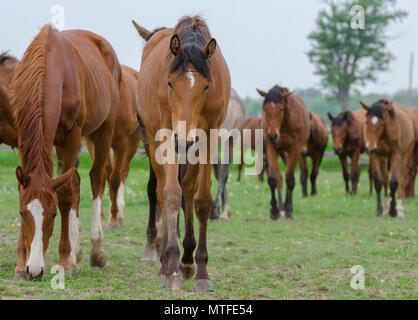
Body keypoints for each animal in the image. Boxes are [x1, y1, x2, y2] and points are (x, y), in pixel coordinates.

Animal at [10, 25, 121, 280]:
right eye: (21, 213)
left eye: (52, 215)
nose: (34, 270)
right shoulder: (22, 135)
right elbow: (27, 189)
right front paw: (20, 264)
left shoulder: (72, 135)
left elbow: (65, 195)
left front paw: (63, 262)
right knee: (76, 180)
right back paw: (76, 253)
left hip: (103, 131)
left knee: (96, 179)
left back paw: (95, 250)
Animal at [133, 15, 230, 292]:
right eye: (169, 82)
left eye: (206, 86)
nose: (183, 139)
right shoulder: (166, 136)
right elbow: (170, 195)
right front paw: (171, 269)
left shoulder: (208, 137)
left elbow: (202, 200)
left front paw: (201, 271)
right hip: (156, 139)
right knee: (161, 191)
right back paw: (168, 260)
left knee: (187, 188)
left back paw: (187, 260)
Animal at [256, 85, 312, 220]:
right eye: (265, 109)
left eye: (281, 109)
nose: (272, 135)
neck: (285, 124)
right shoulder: (272, 147)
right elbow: (273, 179)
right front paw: (274, 210)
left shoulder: (294, 150)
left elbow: (290, 179)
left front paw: (289, 211)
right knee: (280, 178)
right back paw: (281, 207)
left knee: (288, 178)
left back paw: (287, 207)